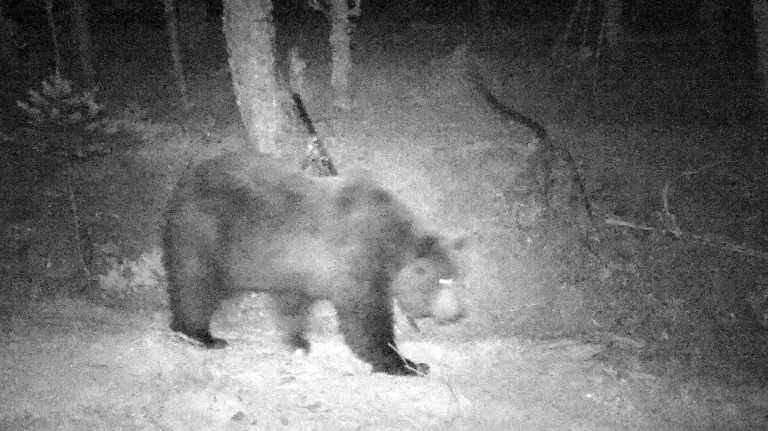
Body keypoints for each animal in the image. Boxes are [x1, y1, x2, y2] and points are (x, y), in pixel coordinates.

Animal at [163, 152, 465, 376]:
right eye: (442, 281)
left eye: (457, 278)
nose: (457, 313)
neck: (392, 245)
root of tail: (184, 182)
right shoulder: (358, 259)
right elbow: (365, 318)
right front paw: (407, 363)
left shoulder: (299, 269)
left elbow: (293, 304)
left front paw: (298, 341)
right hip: (204, 234)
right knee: (195, 286)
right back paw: (201, 336)